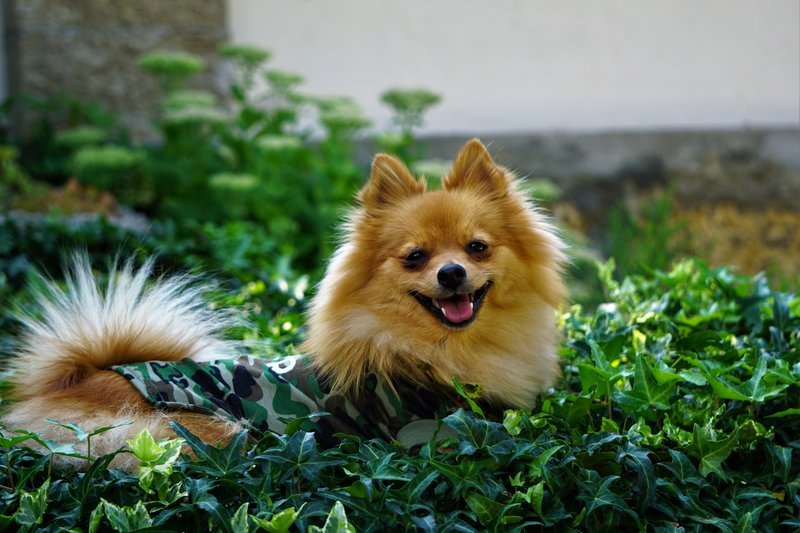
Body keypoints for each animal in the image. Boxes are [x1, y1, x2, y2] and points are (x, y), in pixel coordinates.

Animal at [1, 139, 567, 470]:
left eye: (477, 248)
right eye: (415, 257)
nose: (451, 273)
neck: (437, 351)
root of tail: (74, 378)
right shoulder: (429, 434)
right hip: (201, 434)